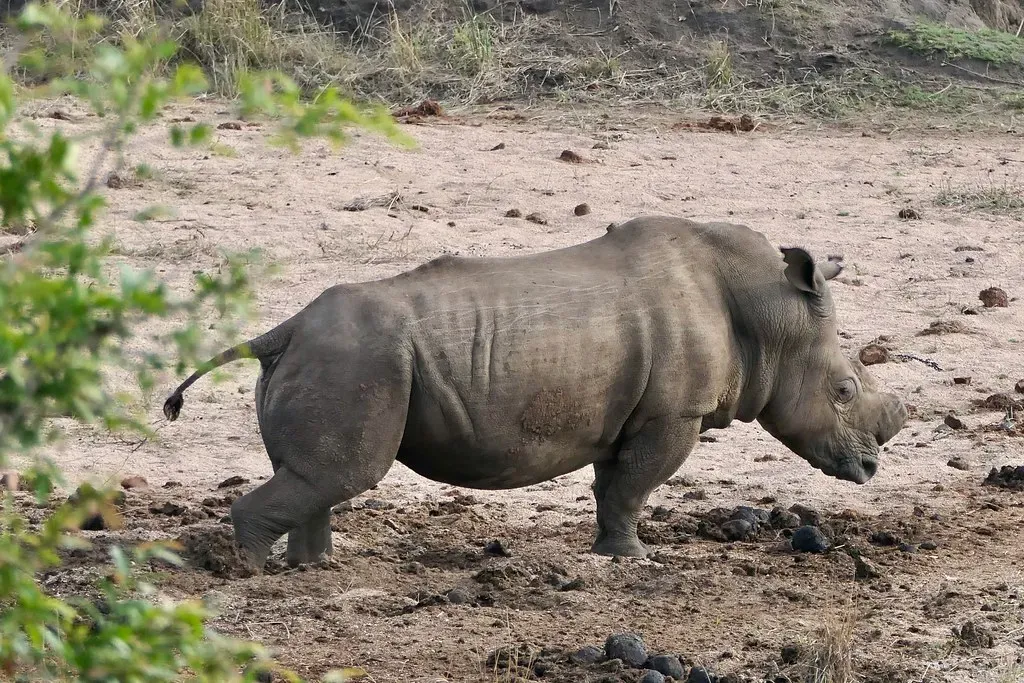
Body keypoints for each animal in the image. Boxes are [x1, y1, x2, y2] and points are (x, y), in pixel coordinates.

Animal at [164, 216, 908, 571]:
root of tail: (283, 329)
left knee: (317, 475)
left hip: (337, 359)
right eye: (844, 390)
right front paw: (638, 560)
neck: (770, 315)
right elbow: (635, 485)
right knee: (343, 472)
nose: (872, 466)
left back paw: (312, 568)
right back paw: (248, 574)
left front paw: (613, 552)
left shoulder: (634, 411)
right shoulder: (673, 412)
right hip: (355, 361)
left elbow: (614, 488)